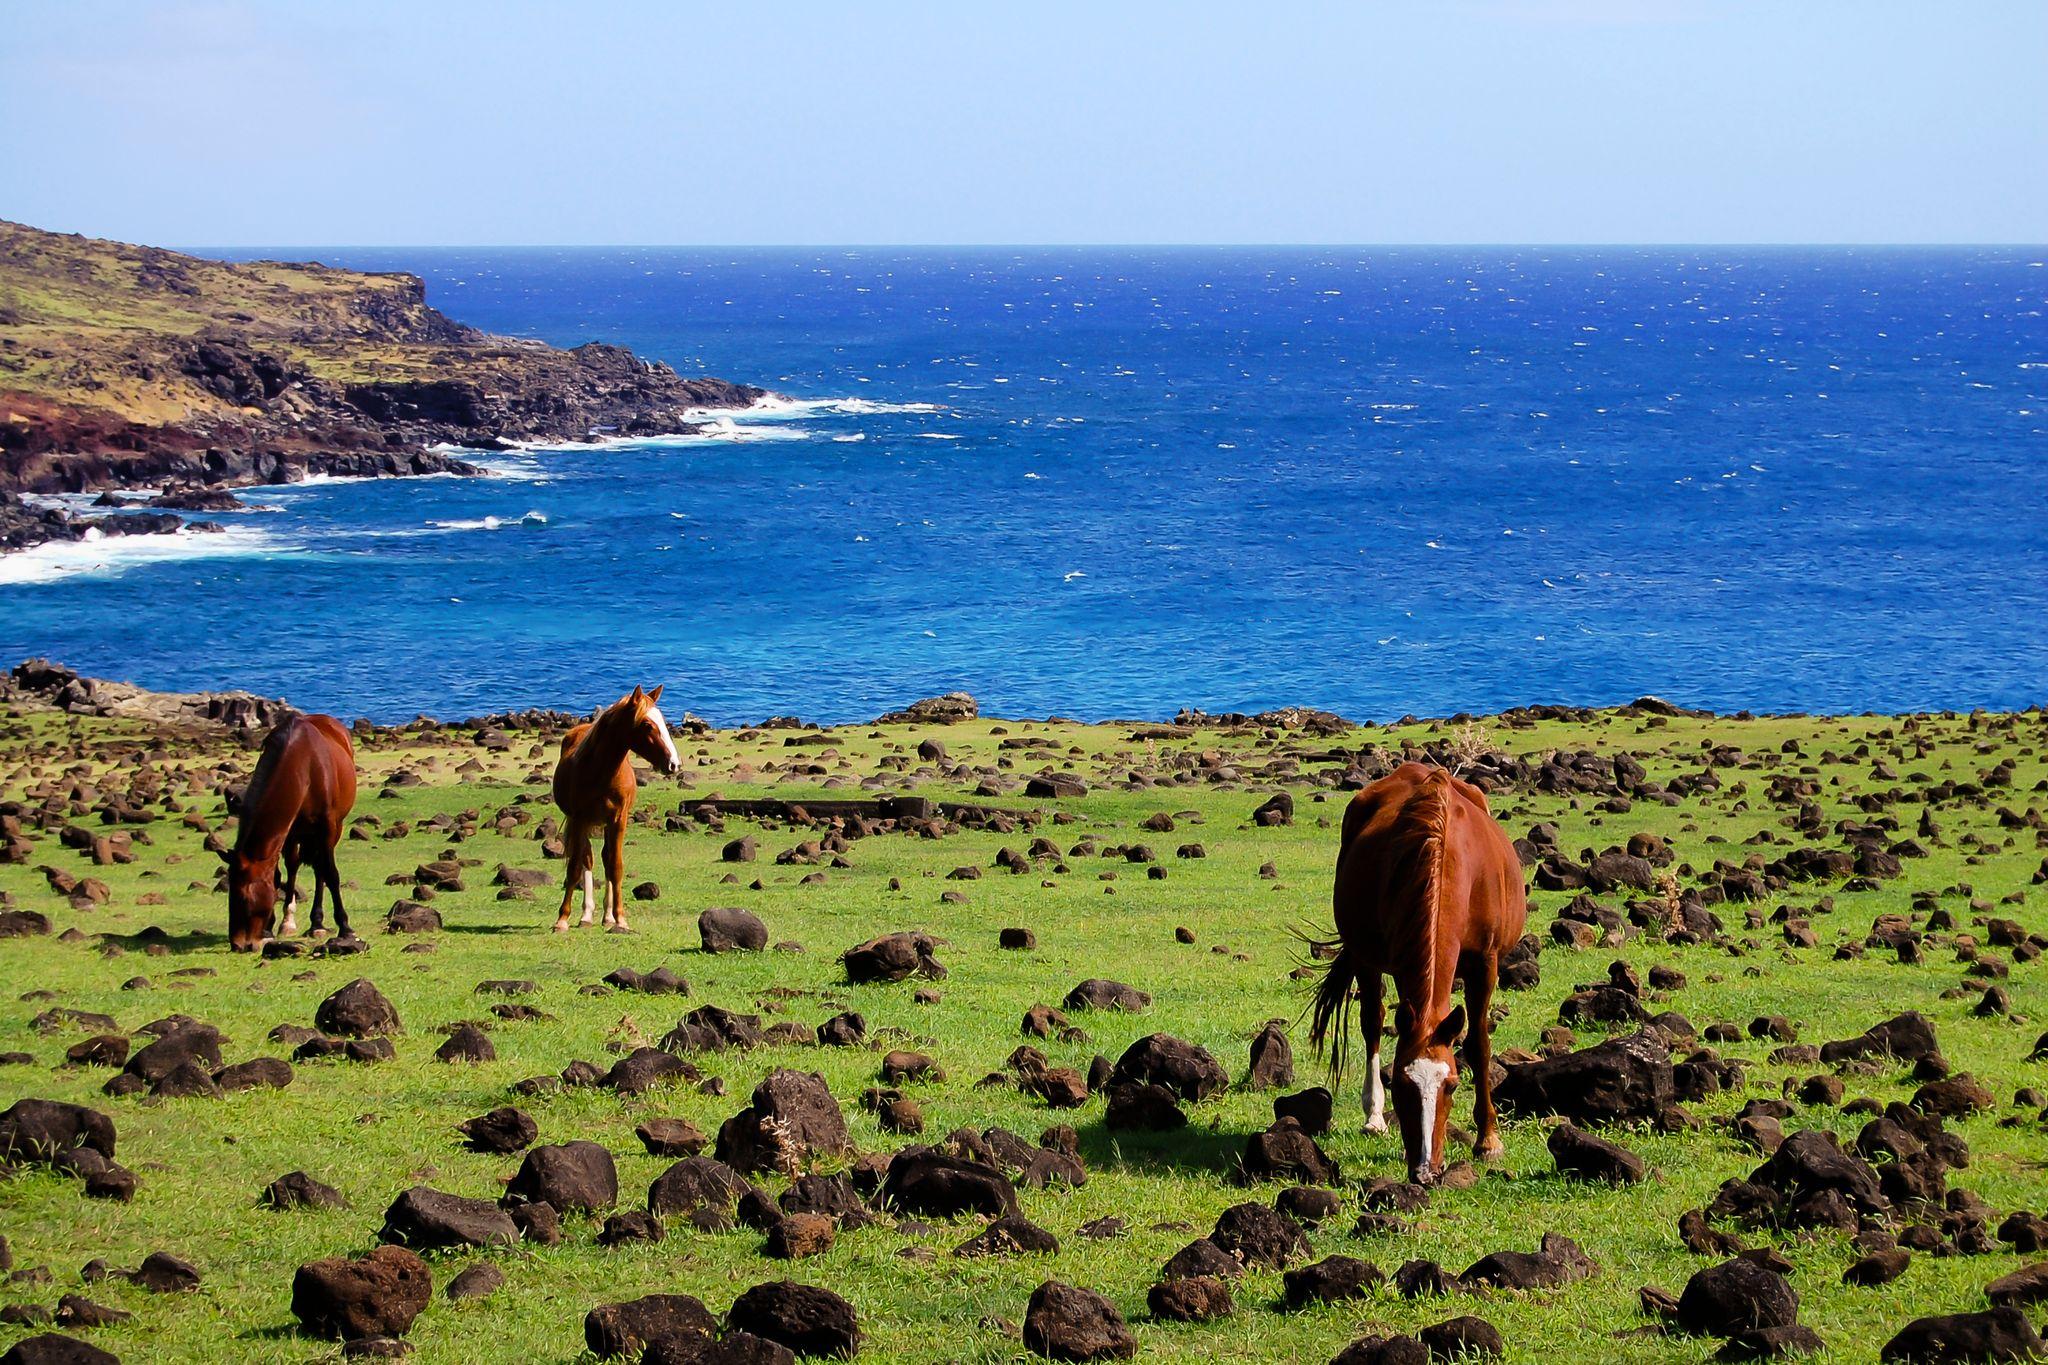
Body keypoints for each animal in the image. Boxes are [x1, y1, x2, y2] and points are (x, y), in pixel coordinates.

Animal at [222, 716, 358, 949]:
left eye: (243, 898)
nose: (238, 945)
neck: (304, 767)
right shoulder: (286, 832)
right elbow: (278, 876)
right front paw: (272, 927)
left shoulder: (327, 828)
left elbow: (331, 874)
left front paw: (345, 927)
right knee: (296, 866)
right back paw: (290, 921)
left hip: (333, 830)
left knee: (320, 869)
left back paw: (317, 923)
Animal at [552, 687, 679, 933]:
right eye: (647, 724)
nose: (674, 764)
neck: (602, 771)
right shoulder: (580, 819)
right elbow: (574, 868)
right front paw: (562, 919)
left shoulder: (618, 820)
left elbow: (615, 867)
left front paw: (620, 918)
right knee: (588, 859)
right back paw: (586, 915)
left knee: (605, 858)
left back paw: (607, 917)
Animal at [1310, 765, 1523, 1178]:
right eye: (1401, 1085)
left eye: (1452, 1085)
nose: (1426, 1171)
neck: (1447, 860)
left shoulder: (1485, 963)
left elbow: (1479, 1044)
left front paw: (1488, 1140)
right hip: (1365, 956)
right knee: (1372, 1022)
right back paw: (1373, 1117)